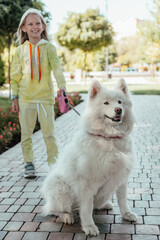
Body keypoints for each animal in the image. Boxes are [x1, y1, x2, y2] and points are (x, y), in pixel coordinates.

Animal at [40, 79, 137, 236]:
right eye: (106, 103)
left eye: (120, 102)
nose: (118, 110)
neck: (109, 138)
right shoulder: (86, 183)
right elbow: (86, 208)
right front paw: (89, 227)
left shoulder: (121, 177)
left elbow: (123, 200)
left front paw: (127, 214)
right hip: (60, 187)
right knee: (53, 210)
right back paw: (67, 216)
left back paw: (105, 205)